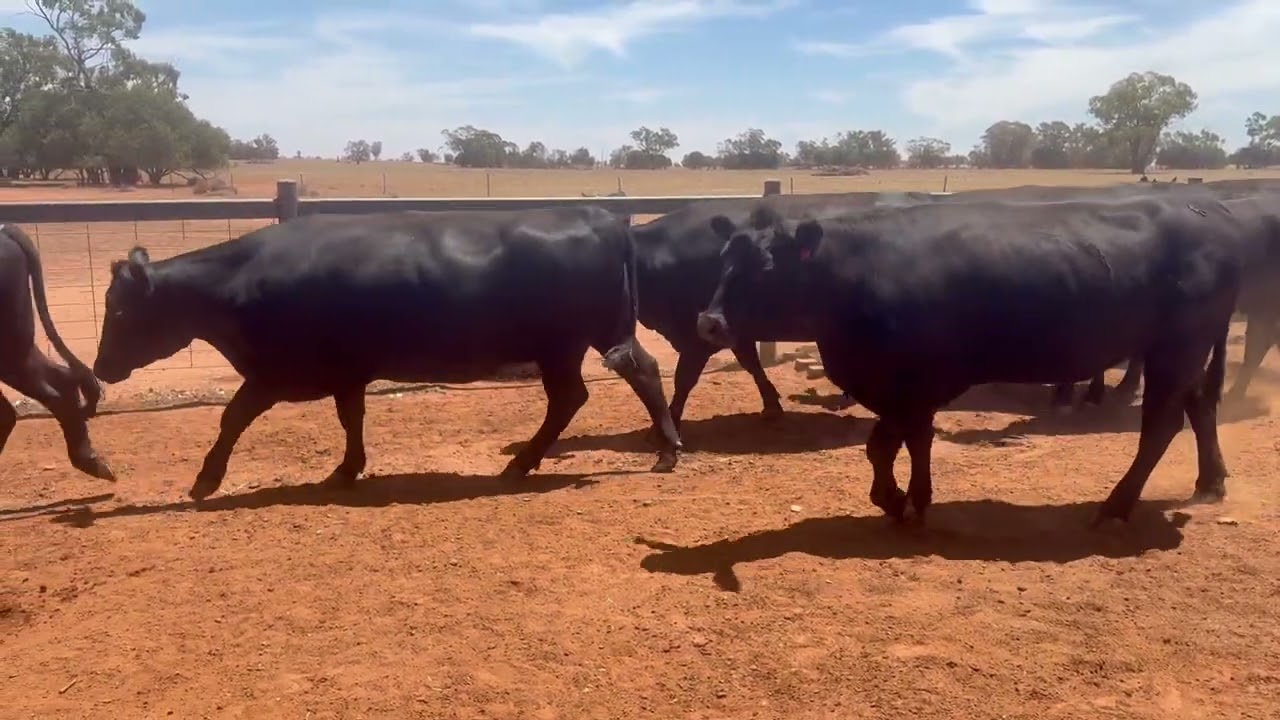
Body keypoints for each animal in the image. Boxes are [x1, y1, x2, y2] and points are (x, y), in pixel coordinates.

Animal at [90, 207, 682, 501]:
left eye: (118, 310)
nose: (99, 369)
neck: (241, 282)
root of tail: (601, 215)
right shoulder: (347, 371)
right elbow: (351, 416)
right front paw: (347, 469)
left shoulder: (276, 373)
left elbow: (232, 417)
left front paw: (205, 480)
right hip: (582, 342)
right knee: (621, 380)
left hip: (571, 342)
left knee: (595, 389)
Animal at [695, 195, 1259, 525]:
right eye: (723, 259)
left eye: (767, 266)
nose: (710, 322)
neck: (855, 274)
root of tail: (1211, 216)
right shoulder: (904, 390)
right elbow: (902, 443)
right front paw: (908, 499)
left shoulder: (918, 383)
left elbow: (891, 444)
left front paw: (901, 501)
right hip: (1184, 352)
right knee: (1200, 407)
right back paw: (1209, 483)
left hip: (1176, 350)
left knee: (1161, 426)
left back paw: (1116, 507)